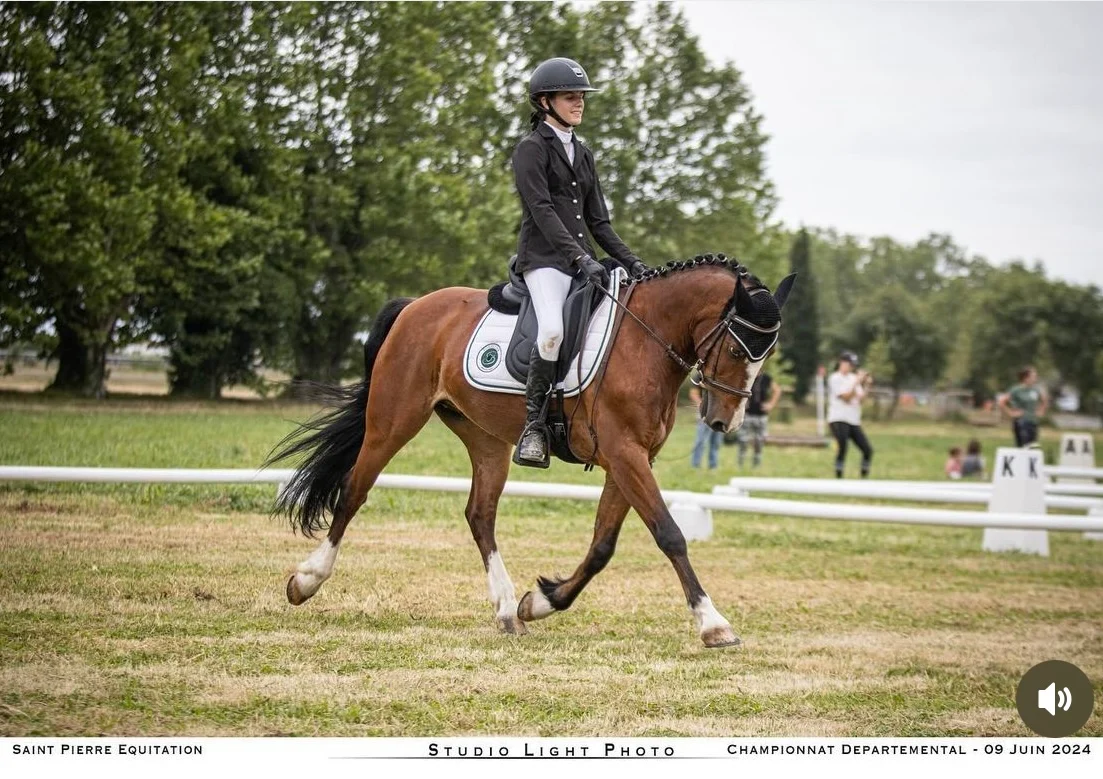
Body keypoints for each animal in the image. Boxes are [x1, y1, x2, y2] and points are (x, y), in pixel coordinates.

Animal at [266, 255, 794, 647]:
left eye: (766, 353)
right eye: (739, 348)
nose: (725, 423)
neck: (644, 338)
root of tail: (417, 305)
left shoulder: (627, 458)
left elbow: (602, 546)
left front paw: (541, 602)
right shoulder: (625, 454)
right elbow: (670, 534)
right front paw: (713, 623)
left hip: (487, 440)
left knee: (480, 514)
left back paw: (506, 612)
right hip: (392, 422)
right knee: (354, 490)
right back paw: (306, 580)